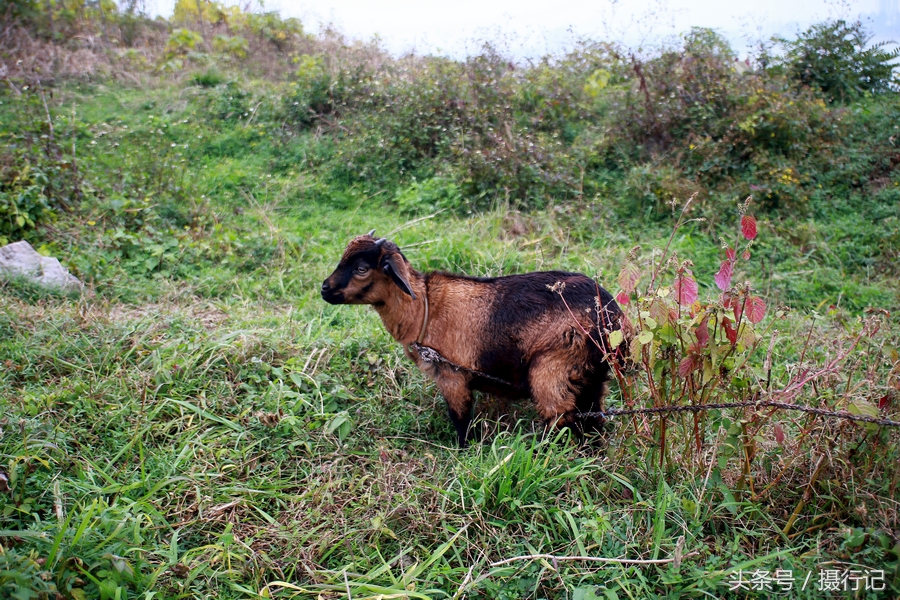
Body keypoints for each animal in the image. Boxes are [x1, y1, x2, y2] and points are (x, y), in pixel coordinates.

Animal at [320, 232, 624, 448]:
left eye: (361, 269)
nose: (324, 289)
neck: (424, 308)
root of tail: (612, 318)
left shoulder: (452, 376)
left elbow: (461, 419)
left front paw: (463, 451)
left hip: (553, 371)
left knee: (561, 420)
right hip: (592, 378)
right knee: (592, 419)